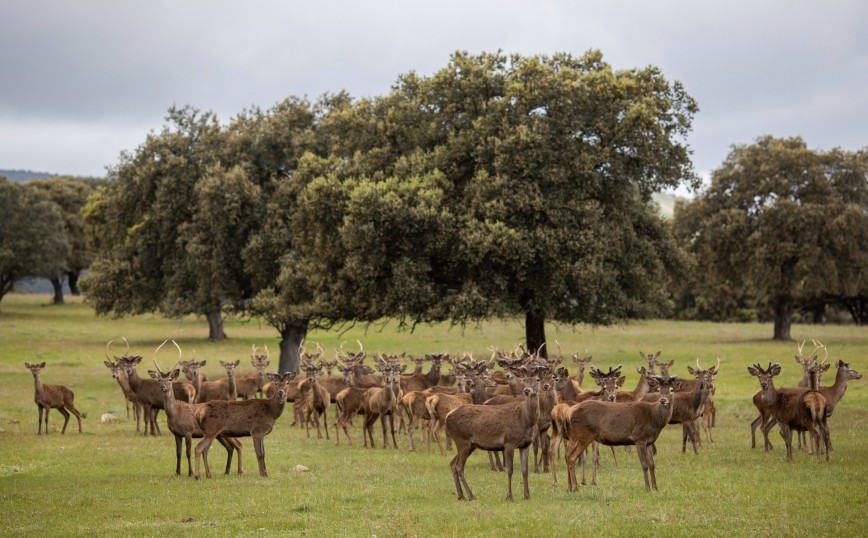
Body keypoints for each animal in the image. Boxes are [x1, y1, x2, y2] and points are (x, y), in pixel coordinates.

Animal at [145, 342, 241, 476]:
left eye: (170, 379)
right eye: (159, 379)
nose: (163, 386)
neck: (175, 414)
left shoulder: (188, 431)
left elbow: (188, 452)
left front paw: (190, 473)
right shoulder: (176, 434)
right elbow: (178, 453)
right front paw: (177, 472)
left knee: (238, 444)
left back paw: (239, 471)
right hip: (219, 434)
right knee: (230, 447)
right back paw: (227, 471)